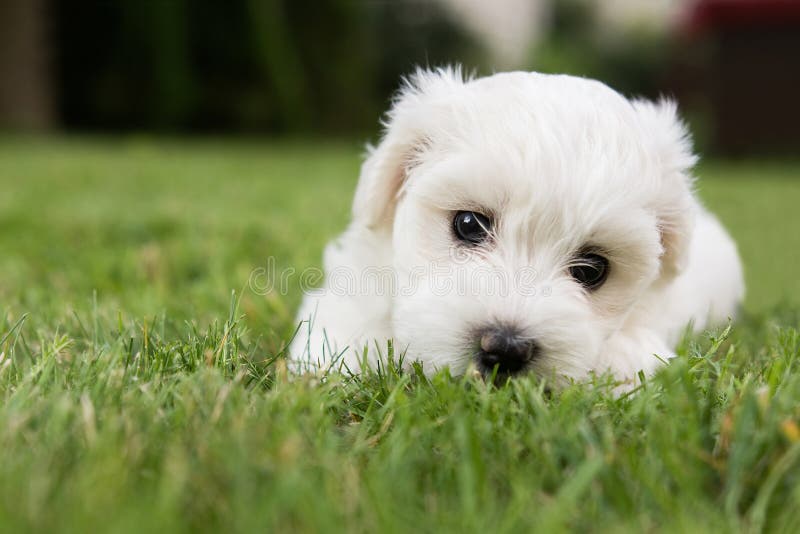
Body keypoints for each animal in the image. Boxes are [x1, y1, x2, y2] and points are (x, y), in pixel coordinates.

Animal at [290, 68, 748, 386]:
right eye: (468, 224)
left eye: (593, 270)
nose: (505, 348)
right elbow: (350, 319)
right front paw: (327, 370)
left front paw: (622, 369)